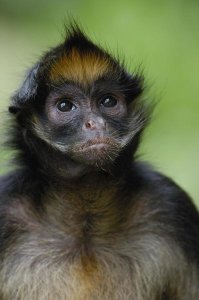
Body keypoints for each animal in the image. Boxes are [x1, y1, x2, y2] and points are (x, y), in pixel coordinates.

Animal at [0, 24, 198, 298]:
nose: (96, 123)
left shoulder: (171, 205)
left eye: (108, 101)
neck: (85, 230)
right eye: (65, 106)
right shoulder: (5, 209)